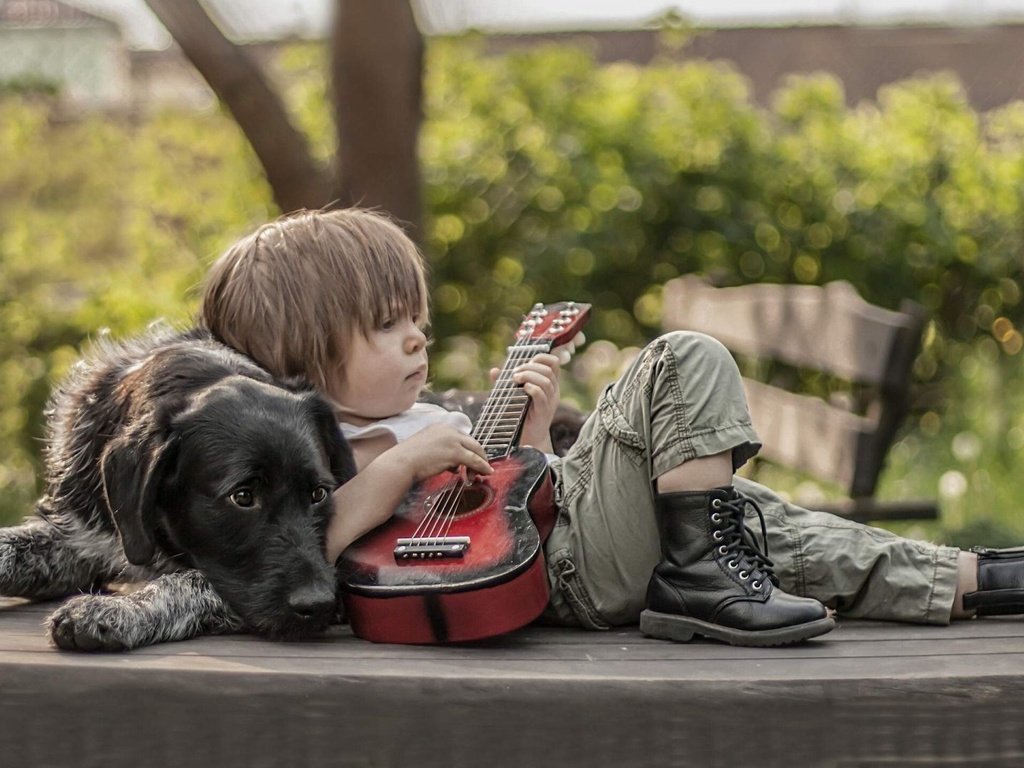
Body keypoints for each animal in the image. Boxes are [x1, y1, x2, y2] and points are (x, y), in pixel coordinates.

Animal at [0, 325, 356, 651]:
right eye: (242, 497)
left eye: (318, 494)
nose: (321, 604)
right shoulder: (81, 535)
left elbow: (188, 581)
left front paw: (114, 609)